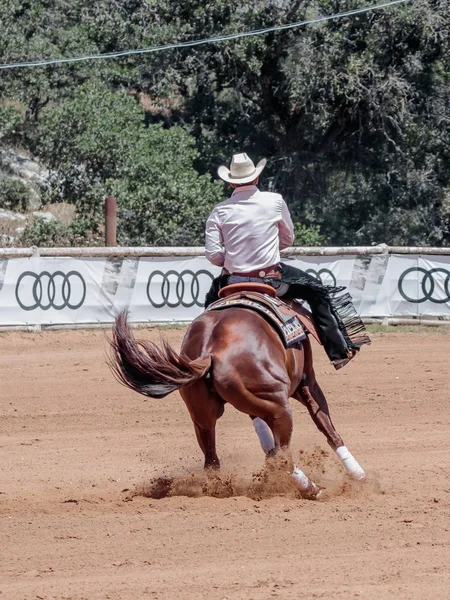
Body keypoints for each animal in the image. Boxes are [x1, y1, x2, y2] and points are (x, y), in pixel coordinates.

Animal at [110, 308, 366, 500]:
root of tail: (211, 352)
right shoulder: (307, 382)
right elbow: (326, 425)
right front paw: (358, 474)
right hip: (280, 408)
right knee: (283, 458)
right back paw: (312, 489)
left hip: (202, 417)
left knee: (212, 461)